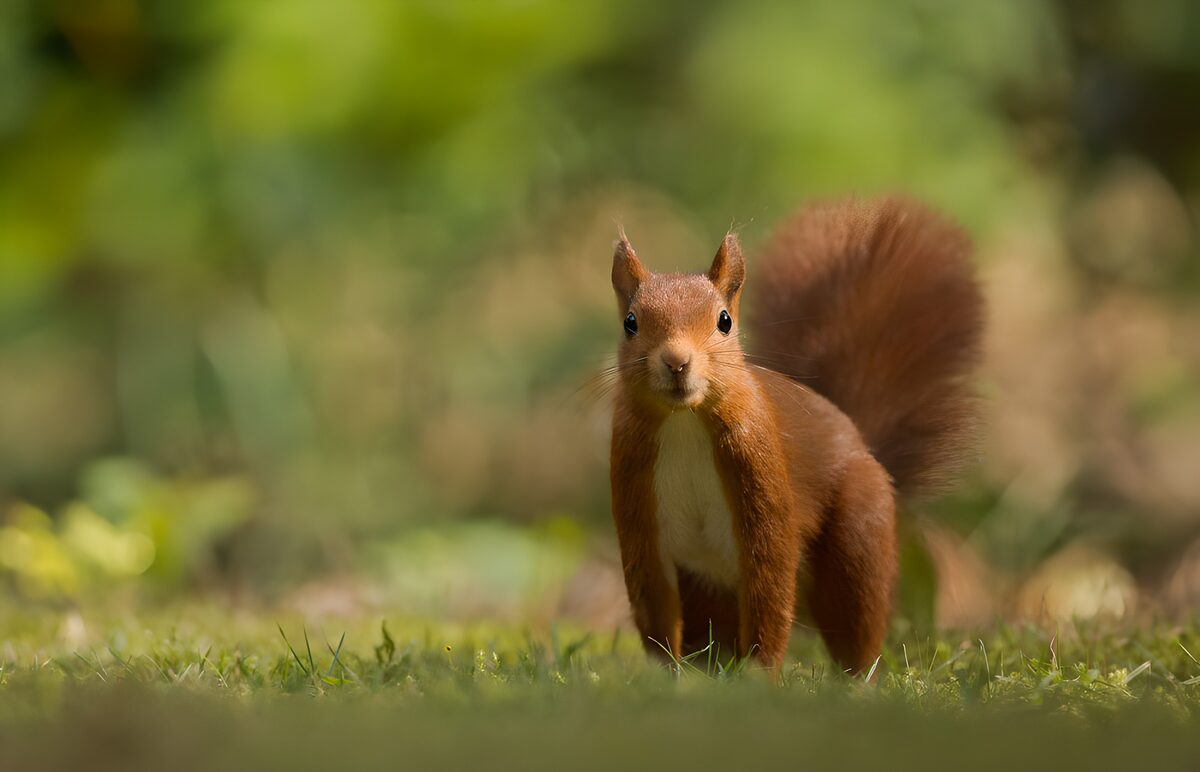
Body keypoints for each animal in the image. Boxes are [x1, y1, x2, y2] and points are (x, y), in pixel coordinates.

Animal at [608, 196, 984, 674]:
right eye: (630, 323)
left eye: (725, 321)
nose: (676, 361)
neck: (684, 423)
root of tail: (858, 438)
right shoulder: (636, 499)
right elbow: (652, 602)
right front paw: (665, 677)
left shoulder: (760, 475)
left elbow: (769, 585)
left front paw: (759, 675)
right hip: (705, 593)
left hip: (858, 535)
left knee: (854, 618)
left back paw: (855, 679)